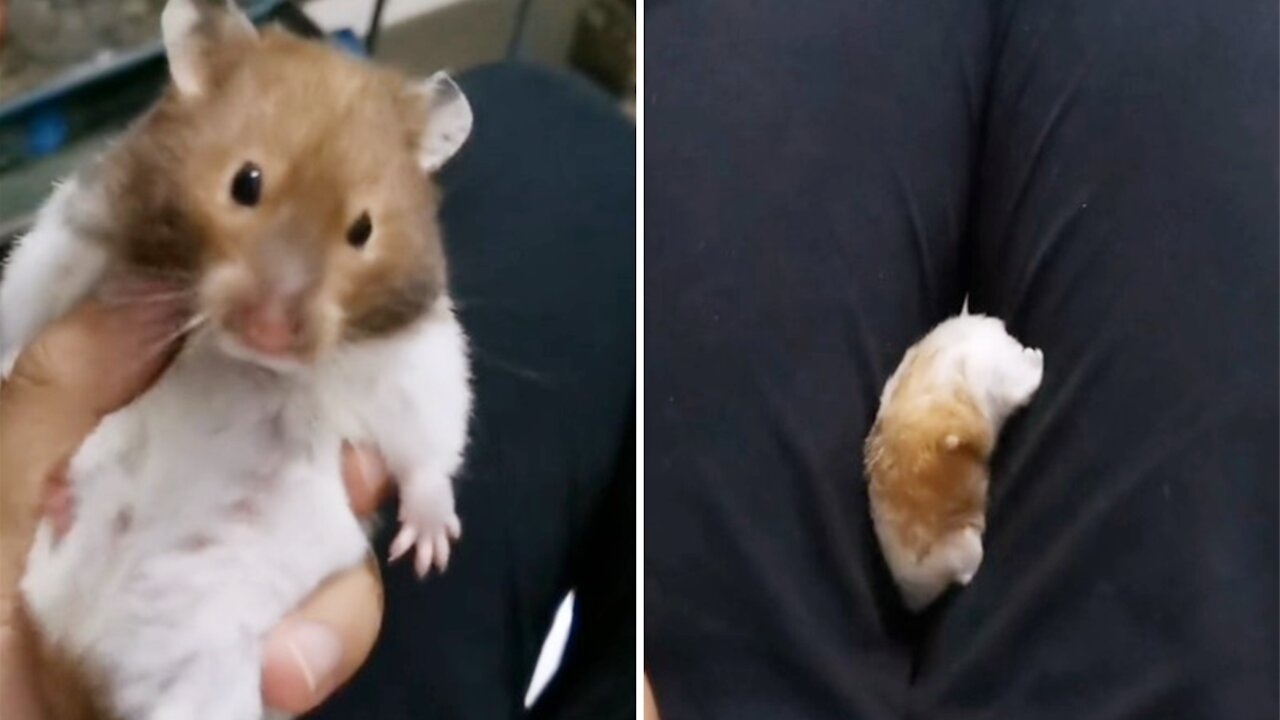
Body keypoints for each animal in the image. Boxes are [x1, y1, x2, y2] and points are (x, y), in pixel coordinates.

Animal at [0, 1, 474, 717]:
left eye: (363, 229)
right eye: (245, 183)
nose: (270, 330)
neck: (250, 363)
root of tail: (75, 656)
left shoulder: (415, 355)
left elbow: (427, 445)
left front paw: (427, 551)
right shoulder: (76, 231)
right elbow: (27, 304)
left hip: (204, 676)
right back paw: (61, 502)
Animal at [864, 310, 1043, 611]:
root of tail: (912, 595)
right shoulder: (1006, 382)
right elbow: (1027, 380)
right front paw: (1035, 358)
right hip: (966, 543)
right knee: (968, 571)